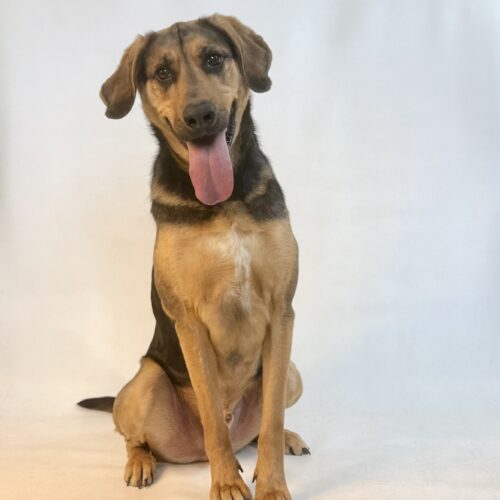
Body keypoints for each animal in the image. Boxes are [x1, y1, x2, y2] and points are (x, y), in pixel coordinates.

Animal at [78, 14, 309, 500]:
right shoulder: (188, 319)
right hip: (143, 383)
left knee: (260, 427)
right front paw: (225, 485)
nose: (200, 116)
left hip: (293, 370)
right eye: (163, 72)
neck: (222, 203)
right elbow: (211, 420)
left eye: (214, 58)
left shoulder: (283, 311)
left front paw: (272, 485)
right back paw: (141, 462)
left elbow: (272, 416)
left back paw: (285, 438)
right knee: (135, 434)